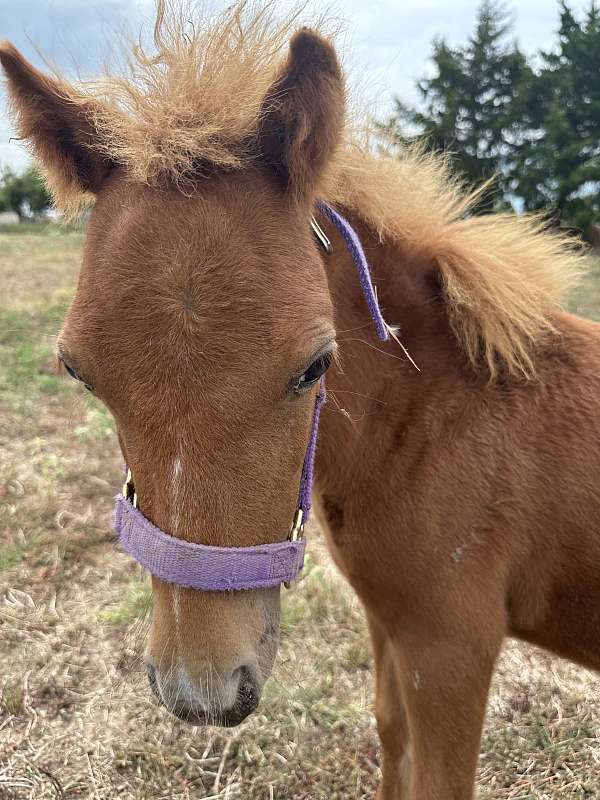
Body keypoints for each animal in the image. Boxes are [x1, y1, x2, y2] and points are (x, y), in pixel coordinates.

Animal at [2, 3, 596, 796]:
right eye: (79, 372)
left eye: (316, 366)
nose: (203, 692)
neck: (439, 417)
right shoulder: (389, 622)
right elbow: (392, 737)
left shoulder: (451, 645)